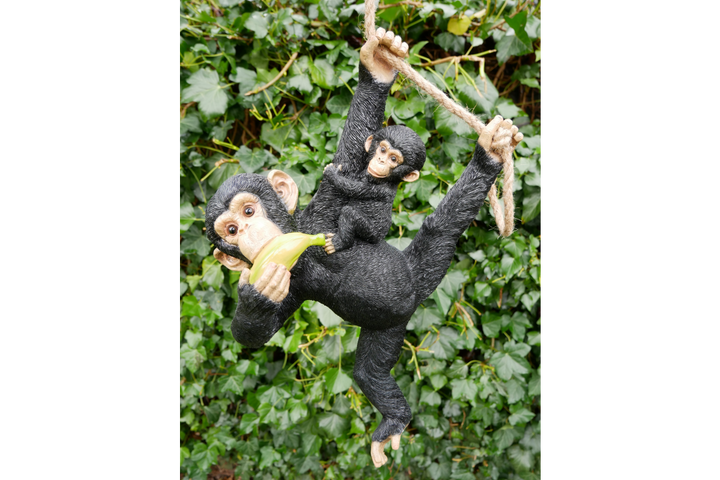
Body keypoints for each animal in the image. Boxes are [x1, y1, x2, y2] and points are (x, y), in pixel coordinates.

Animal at [321, 124, 426, 254]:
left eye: (393, 159)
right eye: (383, 150)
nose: (381, 160)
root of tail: (380, 237)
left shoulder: (379, 189)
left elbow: (350, 187)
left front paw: (331, 173)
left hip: (372, 233)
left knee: (349, 213)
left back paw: (339, 243)